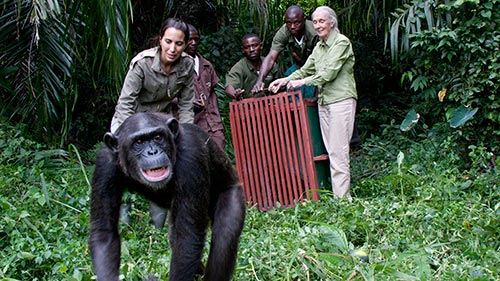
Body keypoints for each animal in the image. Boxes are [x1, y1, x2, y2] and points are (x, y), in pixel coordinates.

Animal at [90, 110, 248, 278]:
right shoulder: (104, 165)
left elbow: (187, 238)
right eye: (138, 142)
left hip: (233, 192)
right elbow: (104, 232)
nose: (152, 151)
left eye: (158, 137)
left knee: (224, 239)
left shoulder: (191, 156)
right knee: (174, 237)